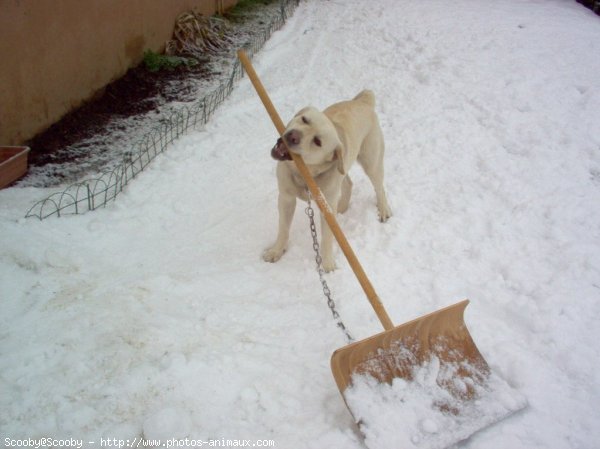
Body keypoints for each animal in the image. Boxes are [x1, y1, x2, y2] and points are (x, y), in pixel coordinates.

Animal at [264, 87, 392, 270]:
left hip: (371, 162)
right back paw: (342, 207)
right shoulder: (286, 198)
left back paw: (383, 210)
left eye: (317, 141)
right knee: (348, 183)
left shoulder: (326, 206)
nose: (293, 136)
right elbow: (283, 229)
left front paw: (328, 266)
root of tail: (363, 101)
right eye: (304, 119)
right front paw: (276, 251)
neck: (305, 174)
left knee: (379, 187)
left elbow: (327, 238)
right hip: (342, 169)